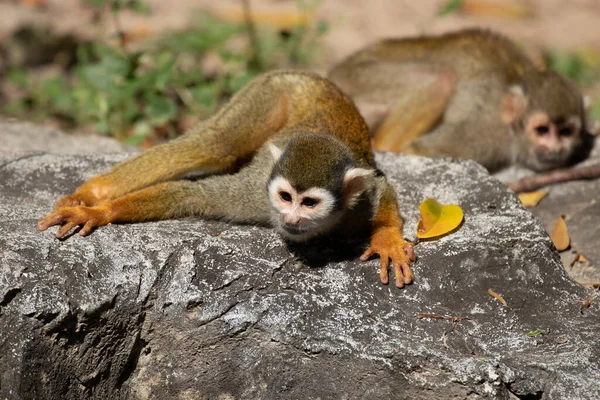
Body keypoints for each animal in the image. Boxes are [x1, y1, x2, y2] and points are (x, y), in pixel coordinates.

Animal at [36, 69, 412, 288]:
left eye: (309, 203)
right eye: (285, 198)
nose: (290, 219)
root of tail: (310, 75)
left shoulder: (356, 201)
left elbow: (382, 186)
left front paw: (387, 241)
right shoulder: (252, 196)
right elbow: (195, 194)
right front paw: (99, 212)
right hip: (270, 92)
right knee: (214, 145)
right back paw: (94, 193)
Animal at [326, 28, 592, 172]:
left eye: (566, 133)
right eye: (542, 130)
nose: (555, 149)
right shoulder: (484, 134)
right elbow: (419, 148)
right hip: (362, 81)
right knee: (441, 78)